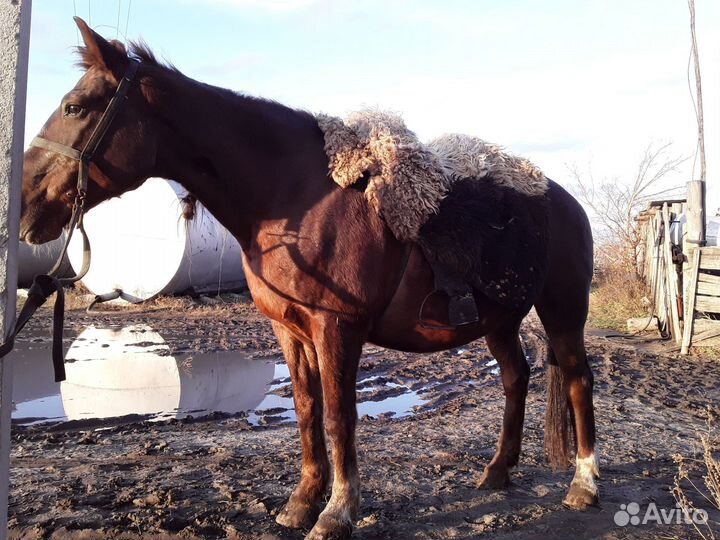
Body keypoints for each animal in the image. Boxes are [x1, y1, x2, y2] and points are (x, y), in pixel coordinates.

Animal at [20, 18, 598, 540]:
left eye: (74, 107)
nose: (22, 205)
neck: (294, 197)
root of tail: (565, 202)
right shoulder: (290, 330)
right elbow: (306, 411)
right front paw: (302, 502)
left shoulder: (336, 328)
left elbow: (340, 416)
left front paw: (336, 513)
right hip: (500, 319)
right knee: (516, 378)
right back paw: (497, 472)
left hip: (563, 311)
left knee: (577, 379)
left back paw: (584, 484)